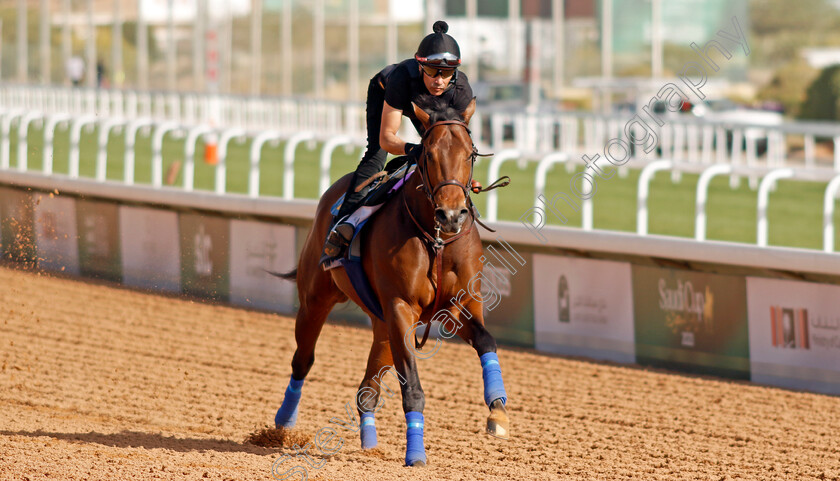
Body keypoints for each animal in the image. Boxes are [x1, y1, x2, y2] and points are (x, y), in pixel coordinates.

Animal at [278, 99, 512, 466]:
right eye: (428, 154)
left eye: (470, 153)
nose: (451, 215)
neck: (436, 239)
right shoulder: (401, 306)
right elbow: (412, 387)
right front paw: (415, 454)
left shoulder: (457, 304)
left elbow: (487, 340)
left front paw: (497, 411)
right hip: (316, 299)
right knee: (303, 360)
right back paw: (282, 425)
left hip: (381, 325)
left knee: (367, 390)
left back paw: (370, 444)